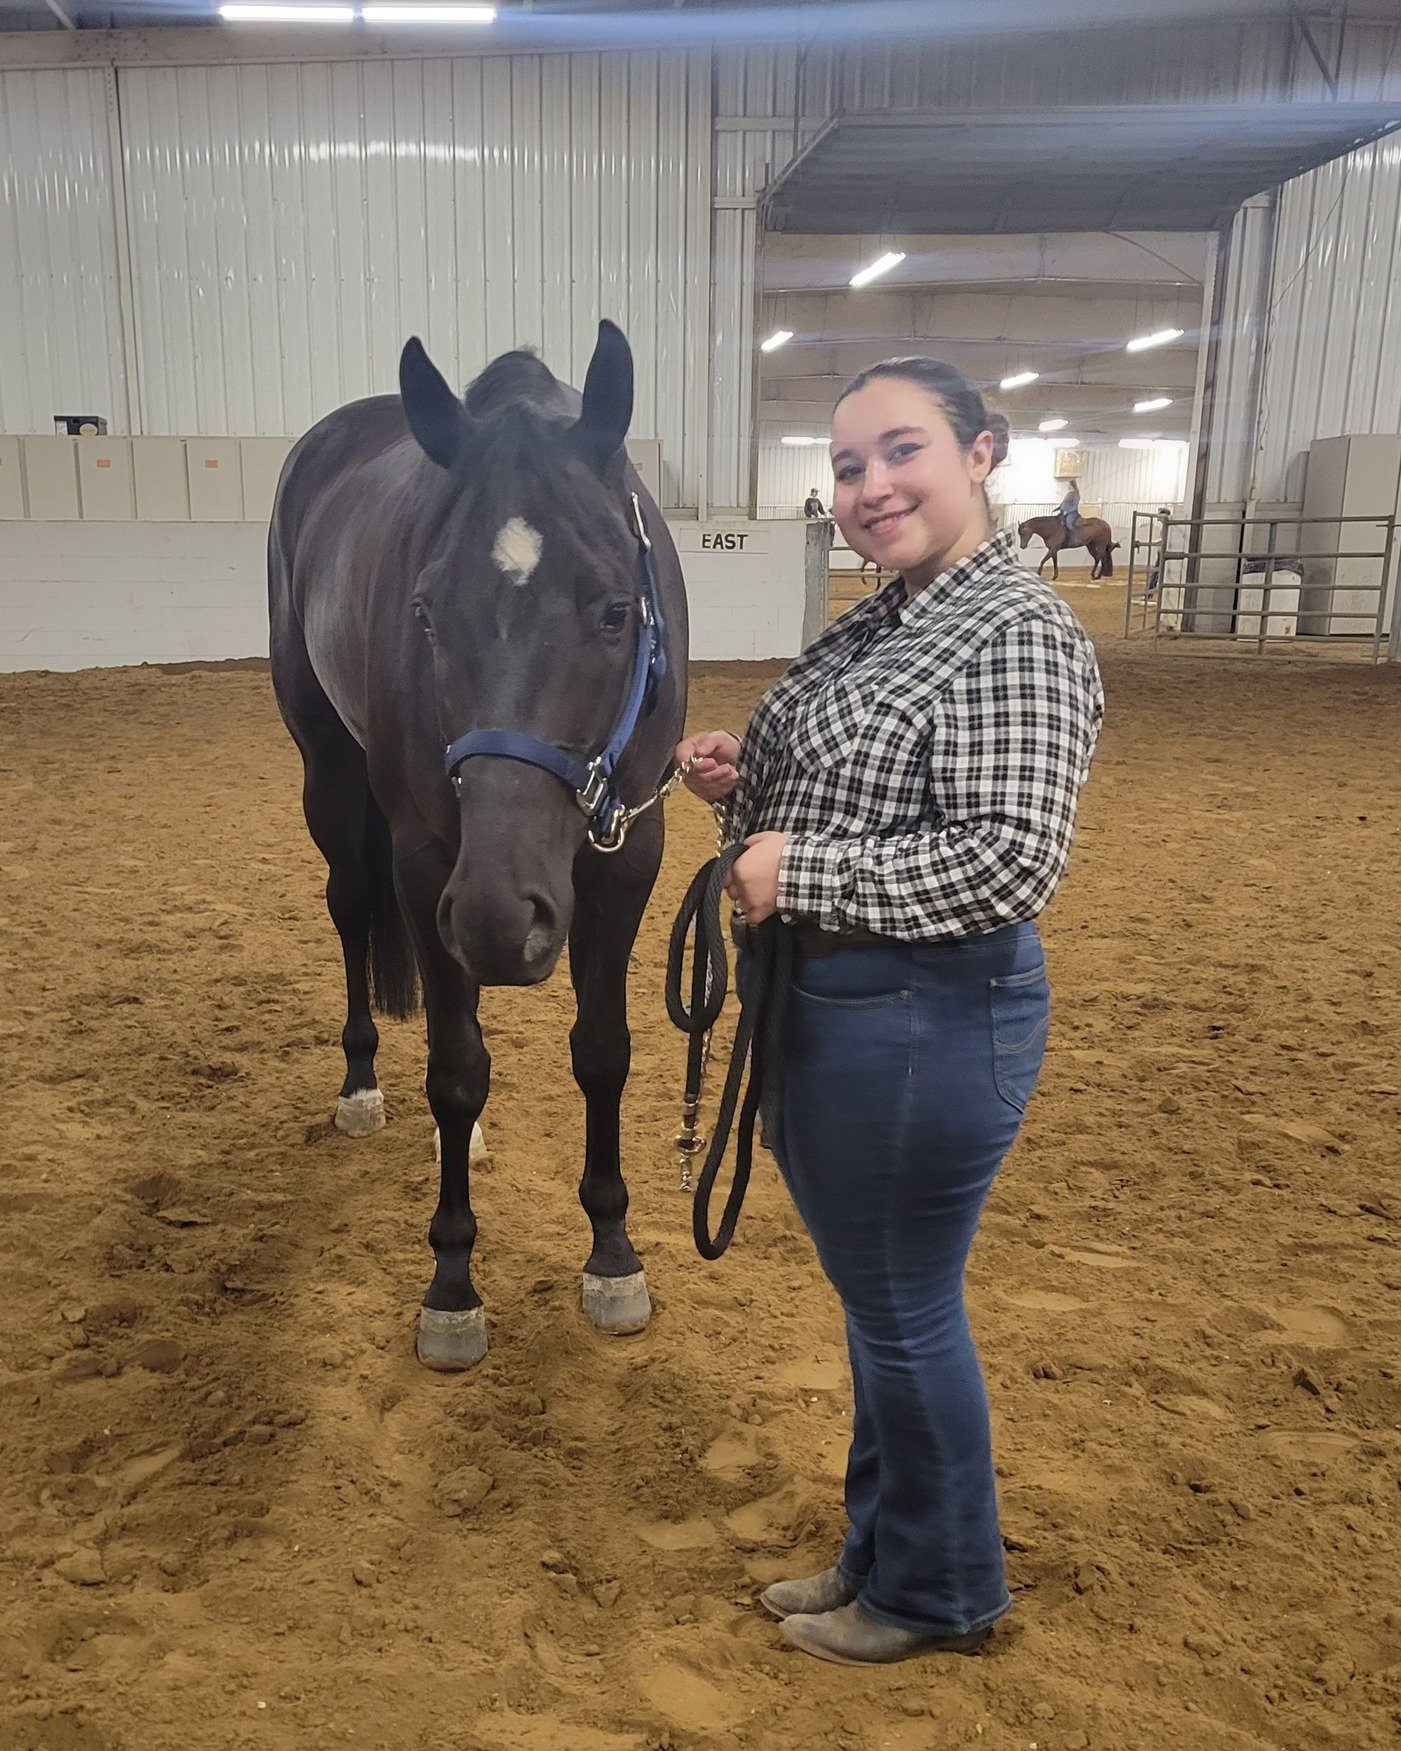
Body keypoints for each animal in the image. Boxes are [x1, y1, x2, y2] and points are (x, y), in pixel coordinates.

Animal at [266, 325, 686, 1365]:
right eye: (424, 612)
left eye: (615, 610)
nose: (505, 920)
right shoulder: (429, 866)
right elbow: (455, 1069)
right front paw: (452, 1284)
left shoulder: (628, 853)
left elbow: (602, 1051)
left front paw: (612, 1255)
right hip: (331, 771)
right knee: (350, 909)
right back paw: (362, 1084)